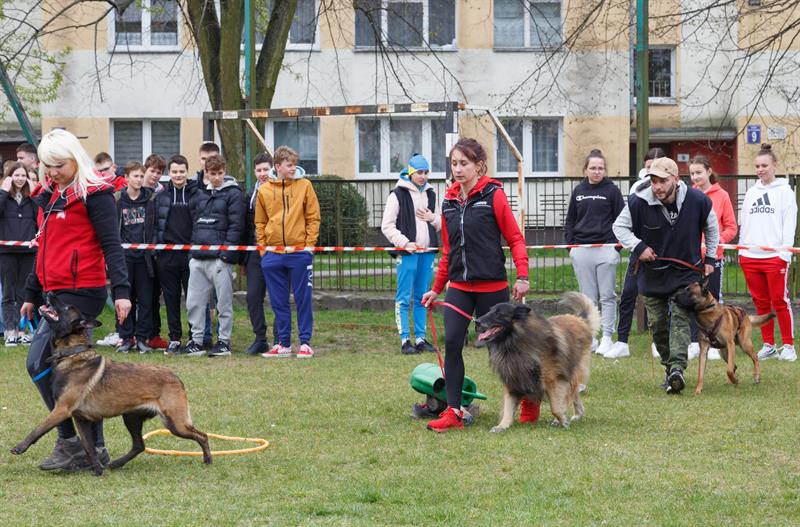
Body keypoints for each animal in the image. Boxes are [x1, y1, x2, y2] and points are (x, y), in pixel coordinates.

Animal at [10, 294, 211, 475]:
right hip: (132, 417)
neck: (72, 352)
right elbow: (89, 446)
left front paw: (20, 447)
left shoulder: (62, 410)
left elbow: (38, 429)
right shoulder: (81, 419)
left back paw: (208, 460)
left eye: (67, 307)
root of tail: (175, 377)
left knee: (202, 435)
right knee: (139, 445)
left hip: (175, 423)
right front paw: (98, 470)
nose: (50, 293)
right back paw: (117, 463)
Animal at [475, 292, 599, 431]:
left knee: (570, 393)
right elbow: (508, 406)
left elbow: (555, 406)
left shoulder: (552, 379)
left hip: (573, 371)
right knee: (574, 394)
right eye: (490, 311)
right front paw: (502, 426)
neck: (515, 343)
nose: (476, 322)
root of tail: (580, 320)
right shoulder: (512, 379)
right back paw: (578, 414)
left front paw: (562, 419)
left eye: (498, 313)